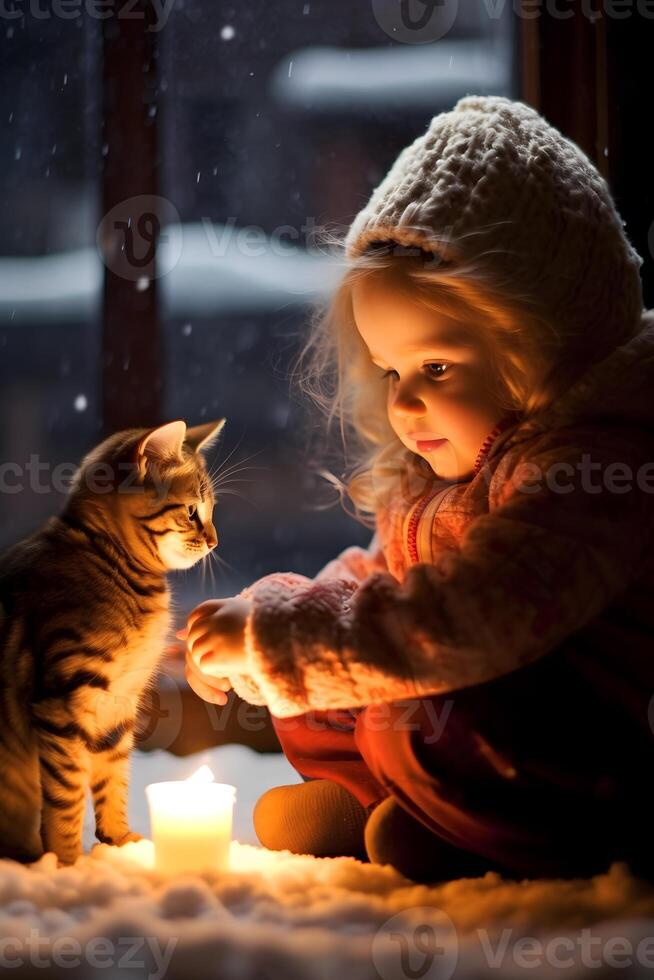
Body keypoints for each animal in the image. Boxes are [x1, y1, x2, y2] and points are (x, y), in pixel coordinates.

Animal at [0, 418, 224, 860]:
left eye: (210, 512)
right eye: (192, 512)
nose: (214, 541)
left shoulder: (120, 704)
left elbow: (114, 778)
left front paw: (119, 843)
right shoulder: (64, 700)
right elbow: (67, 795)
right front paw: (67, 862)